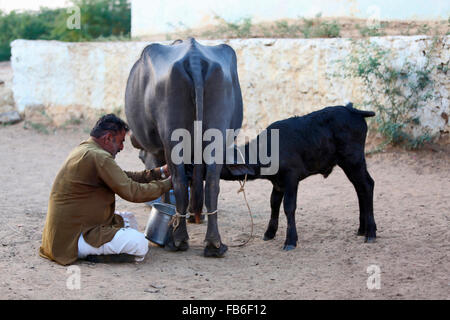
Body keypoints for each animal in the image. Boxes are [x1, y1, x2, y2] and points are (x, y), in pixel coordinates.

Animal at [125, 37, 243, 258]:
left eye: (140, 158)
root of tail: (194, 58)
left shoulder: (157, 151)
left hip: (172, 135)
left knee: (179, 181)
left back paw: (178, 239)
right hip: (217, 132)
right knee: (212, 181)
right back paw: (214, 244)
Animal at [221, 102, 376, 250]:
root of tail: (352, 110)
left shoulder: (291, 178)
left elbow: (289, 206)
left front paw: (290, 240)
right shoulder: (278, 183)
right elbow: (273, 203)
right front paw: (269, 233)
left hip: (353, 160)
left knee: (367, 185)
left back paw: (370, 233)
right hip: (349, 164)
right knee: (360, 189)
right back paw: (362, 229)